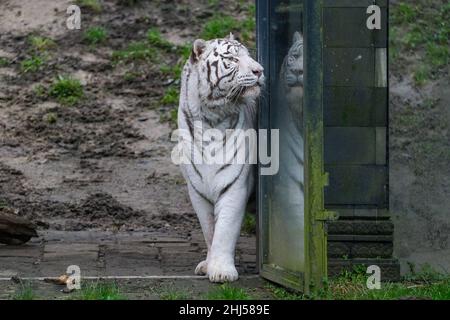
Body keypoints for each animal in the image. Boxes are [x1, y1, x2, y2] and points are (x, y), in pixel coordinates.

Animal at [178, 33, 264, 282]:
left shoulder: (234, 185)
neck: (211, 117)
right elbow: (209, 229)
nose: (260, 70)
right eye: (233, 59)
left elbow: (225, 229)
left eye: (249, 55)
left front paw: (222, 271)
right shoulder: (196, 189)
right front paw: (209, 264)